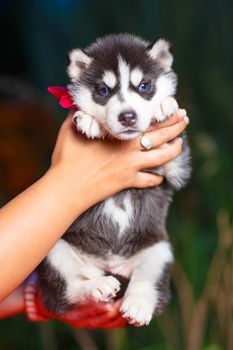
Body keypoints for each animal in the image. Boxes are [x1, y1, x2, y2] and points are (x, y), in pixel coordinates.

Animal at [38, 32, 190, 326]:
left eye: (144, 86)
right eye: (103, 91)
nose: (127, 116)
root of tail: (110, 265)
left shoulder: (176, 166)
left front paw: (164, 106)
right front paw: (87, 120)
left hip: (159, 251)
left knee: (147, 284)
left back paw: (138, 305)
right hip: (53, 248)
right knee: (65, 293)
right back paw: (96, 287)